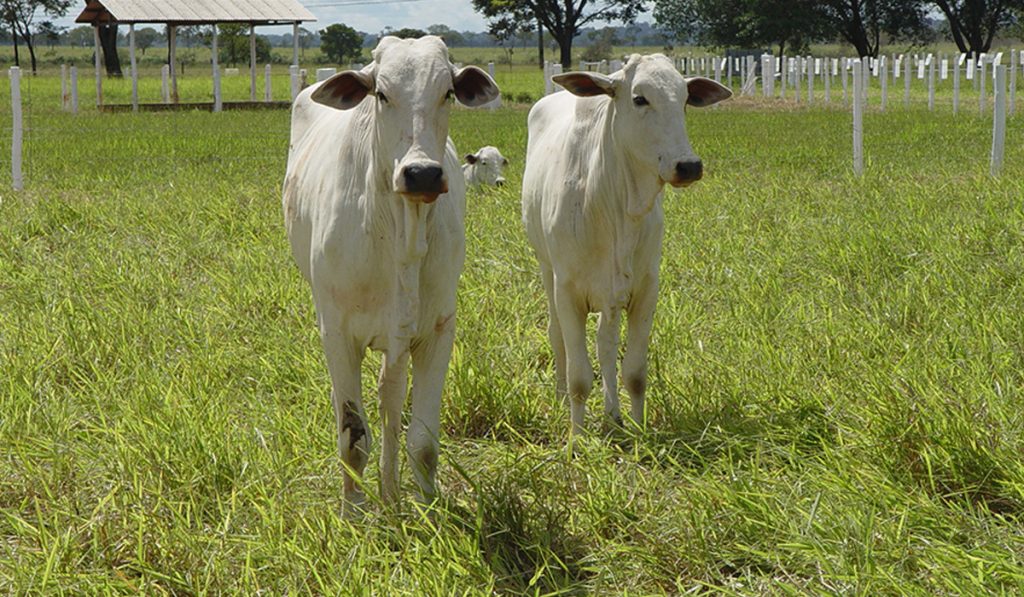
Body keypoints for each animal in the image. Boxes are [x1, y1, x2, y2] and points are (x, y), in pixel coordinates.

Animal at [524, 53, 733, 436]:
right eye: (640, 99)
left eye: (685, 100)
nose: (689, 166)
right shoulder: (568, 291)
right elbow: (579, 376)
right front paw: (577, 438)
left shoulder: (644, 289)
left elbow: (634, 372)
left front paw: (638, 426)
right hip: (546, 270)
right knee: (557, 336)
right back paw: (562, 399)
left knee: (604, 344)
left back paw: (613, 413)